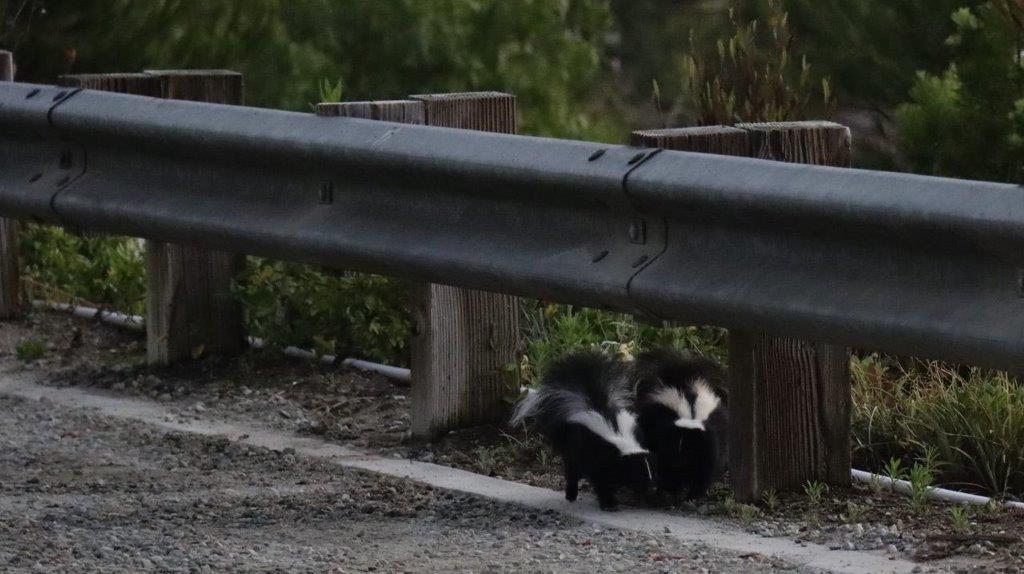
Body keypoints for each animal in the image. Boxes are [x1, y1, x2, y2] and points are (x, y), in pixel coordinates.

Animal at [512, 351, 655, 507]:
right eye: (638, 470)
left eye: (651, 470)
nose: (653, 487)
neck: (620, 438)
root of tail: (588, 403)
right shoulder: (601, 458)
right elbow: (601, 480)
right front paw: (608, 503)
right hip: (574, 447)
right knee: (572, 471)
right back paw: (571, 494)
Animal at [630, 347, 729, 499]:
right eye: (675, 443)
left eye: (690, 446)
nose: (679, 462)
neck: (690, 415)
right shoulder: (664, 433)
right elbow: (664, 462)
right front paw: (673, 489)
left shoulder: (710, 440)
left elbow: (706, 467)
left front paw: (694, 493)